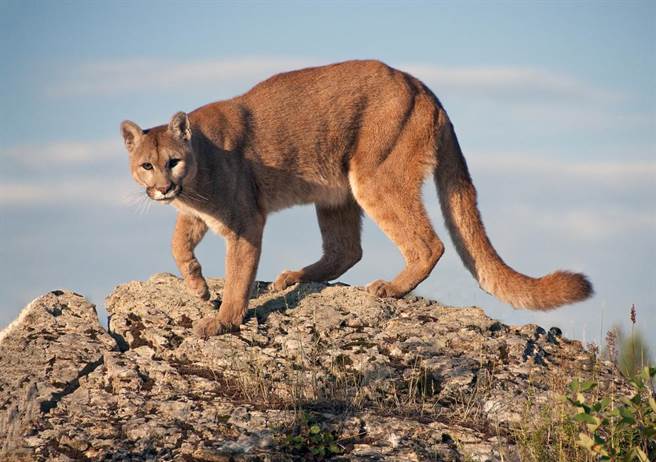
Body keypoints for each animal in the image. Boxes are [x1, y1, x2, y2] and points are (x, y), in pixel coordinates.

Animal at [120, 59, 592, 338]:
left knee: (428, 244)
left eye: (173, 161)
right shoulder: (197, 213)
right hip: (334, 190)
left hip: (374, 177)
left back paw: (390, 289)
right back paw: (294, 277)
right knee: (346, 249)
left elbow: (237, 275)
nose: (163, 188)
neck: (197, 175)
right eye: (147, 165)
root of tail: (424, 86)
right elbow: (178, 242)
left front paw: (222, 320)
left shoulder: (246, 221)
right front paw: (198, 286)